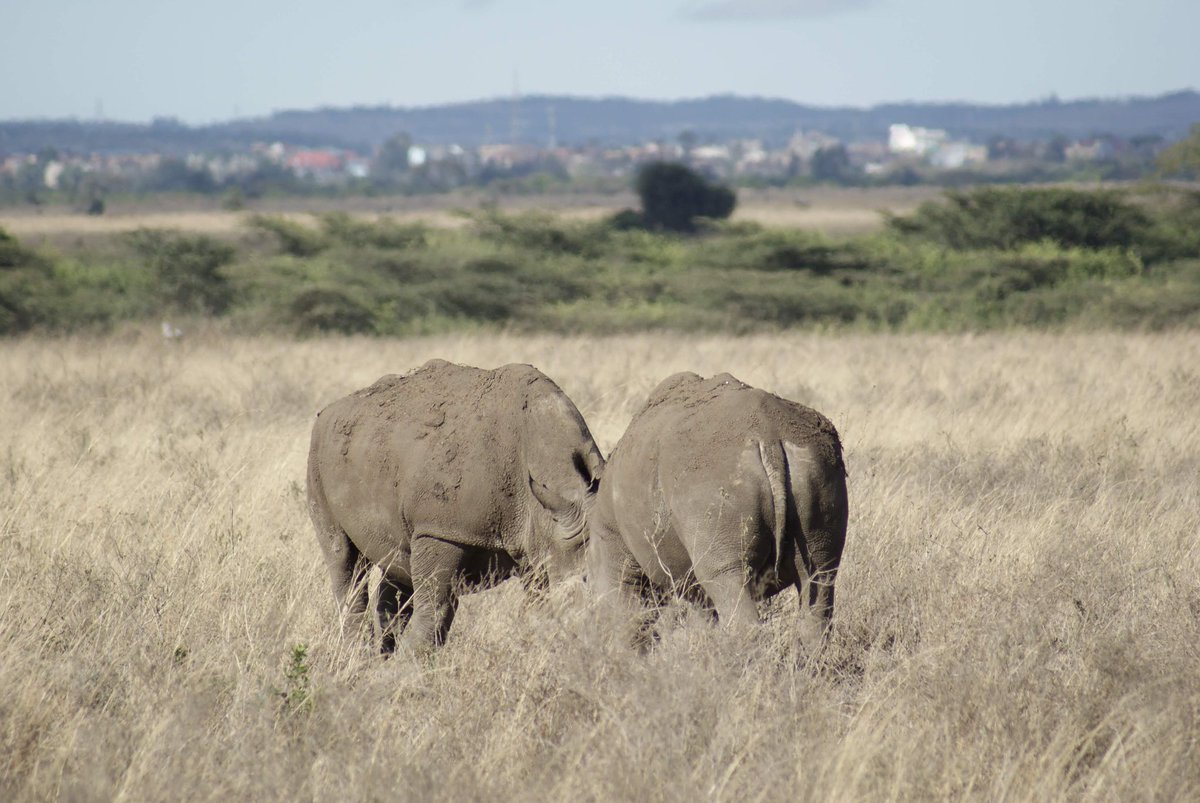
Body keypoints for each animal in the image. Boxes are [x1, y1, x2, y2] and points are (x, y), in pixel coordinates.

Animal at [306, 359, 604, 655]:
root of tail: (330, 410)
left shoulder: (536, 541)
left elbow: (538, 607)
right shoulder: (441, 529)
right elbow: (436, 607)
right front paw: (409, 664)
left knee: (398, 563)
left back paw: (382, 655)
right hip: (317, 454)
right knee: (344, 559)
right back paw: (360, 656)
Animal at [587, 371, 848, 651]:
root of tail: (768, 436)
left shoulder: (613, 541)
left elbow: (624, 610)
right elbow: (702, 617)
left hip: (711, 482)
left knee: (727, 577)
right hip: (816, 466)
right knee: (820, 575)